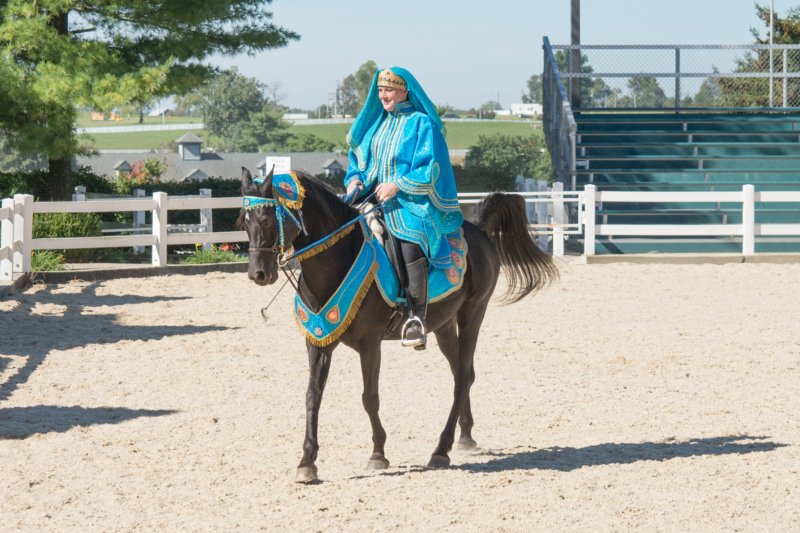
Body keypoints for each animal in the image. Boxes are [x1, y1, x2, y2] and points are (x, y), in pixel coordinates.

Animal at [241, 167, 560, 482]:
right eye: (244, 220)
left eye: (267, 218)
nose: (258, 274)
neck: (337, 260)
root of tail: (478, 230)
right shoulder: (318, 342)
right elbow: (312, 396)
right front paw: (307, 462)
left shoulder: (370, 345)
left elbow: (369, 397)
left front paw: (378, 454)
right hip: (444, 324)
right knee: (462, 373)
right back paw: (465, 437)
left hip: (473, 312)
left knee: (462, 377)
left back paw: (441, 449)